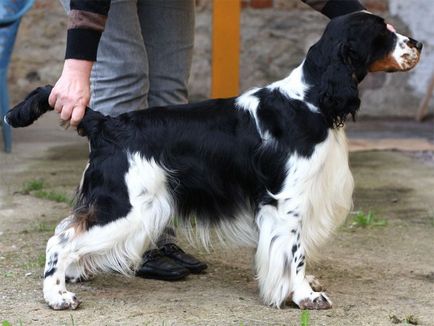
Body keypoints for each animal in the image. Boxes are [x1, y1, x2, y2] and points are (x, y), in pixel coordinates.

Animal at [5, 10, 422, 310]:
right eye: (383, 32)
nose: (418, 43)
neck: (310, 100)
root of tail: (105, 122)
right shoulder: (287, 203)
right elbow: (295, 252)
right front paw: (305, 295)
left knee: (69, 231)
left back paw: (75, 276)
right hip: (127, 208)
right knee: (59, 240)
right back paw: (57, 295)